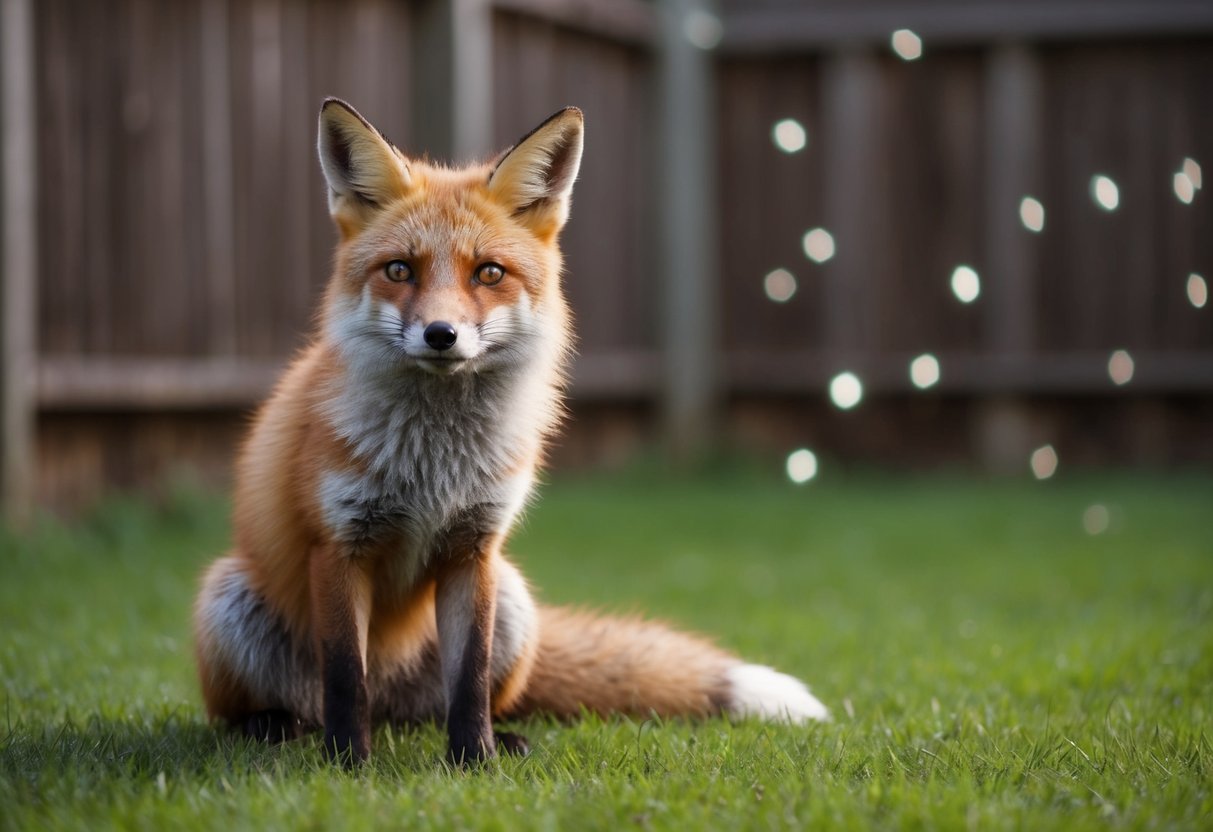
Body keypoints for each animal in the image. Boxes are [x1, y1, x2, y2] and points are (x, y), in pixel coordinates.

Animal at [192, 99, 828, 766]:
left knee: (449, 706)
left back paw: (502, 737)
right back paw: (273, 726)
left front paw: (474, 761)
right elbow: (345, 675)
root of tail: (394, 701)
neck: (434, 463)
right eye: (400, 270)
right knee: (282, 708)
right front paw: (348, 763)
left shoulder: (475, 548)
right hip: (226, 599)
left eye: (489, 273)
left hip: (514, 603)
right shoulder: (339, 546)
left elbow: (469, 677)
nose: (440, 334)